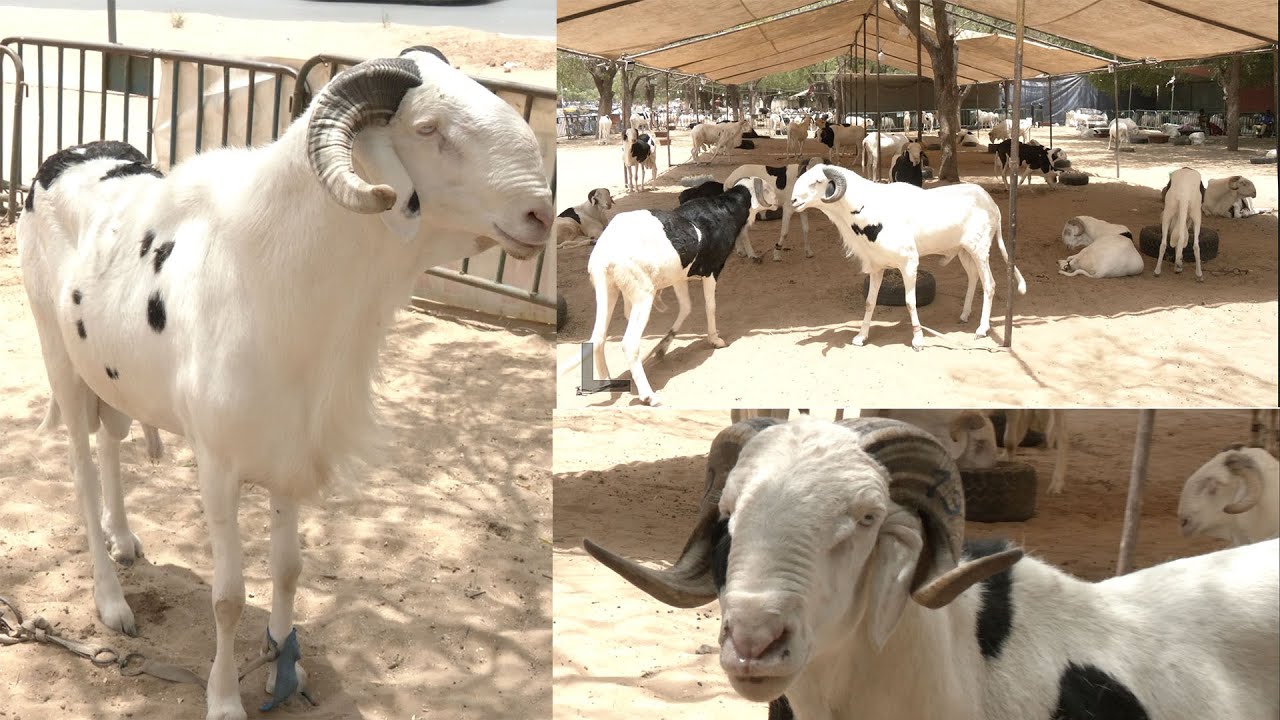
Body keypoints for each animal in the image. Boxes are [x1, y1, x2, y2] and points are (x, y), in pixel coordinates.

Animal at [17, 48, 552, 720]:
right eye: (429, 129)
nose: (540, 214)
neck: (272, 272)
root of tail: (60, 159)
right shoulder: (218, 467)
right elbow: (227, 597)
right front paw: (224, 699)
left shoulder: (290, 454)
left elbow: (289, 570)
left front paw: (281, 665)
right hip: (58, 354)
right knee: (84, 471)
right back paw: (112, 600)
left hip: (109, 371)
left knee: (111, 440)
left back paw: (124, 538)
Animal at [573, 177, 779, 405]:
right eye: (767, 188)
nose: (778, 200)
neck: (726, 209)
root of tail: (607, 252)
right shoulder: (712, 270)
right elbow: (710, 306)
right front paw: (715, 340)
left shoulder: (680, 276)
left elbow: (686, 308)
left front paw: (662, 347)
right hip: (642, 295)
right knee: (629, 343)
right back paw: (648, 395)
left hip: (607, 289)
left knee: (598, 337)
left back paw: (605, 382)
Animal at [790, 164, 1025, 350]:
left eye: (817, 181)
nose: (793, 200)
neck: (868, 207)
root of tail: (992, 204)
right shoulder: (877, 267)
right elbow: (870, 302)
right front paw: (861, 337)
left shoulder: (909, 263)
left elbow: (910, 302)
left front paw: (918, 340)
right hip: (964, 251)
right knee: (973, 278)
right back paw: (965, 315)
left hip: (980, 249)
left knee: (990, 284)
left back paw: (982, 329)